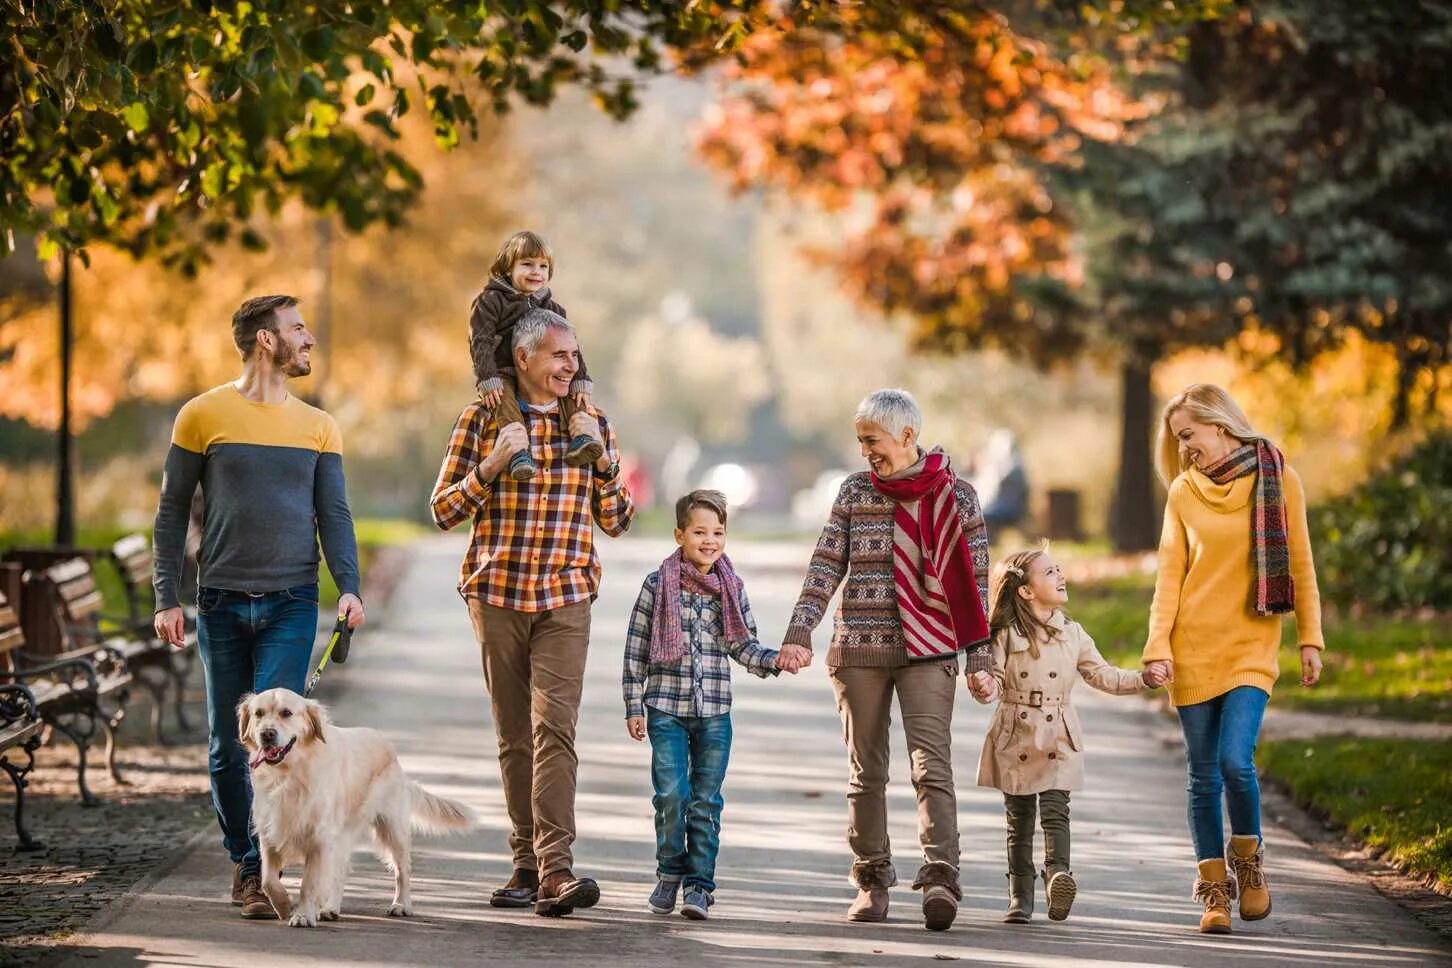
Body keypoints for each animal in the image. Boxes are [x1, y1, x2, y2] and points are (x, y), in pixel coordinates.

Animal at [238, 685, 473, 928]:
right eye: (258, 713)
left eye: (286, 713)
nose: (267, 734)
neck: (289, 774)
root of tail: (391, 751)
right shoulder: (269, 831)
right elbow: (268, 880)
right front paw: (283, 905)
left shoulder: (319, 837)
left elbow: (309, 883)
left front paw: (303, 915)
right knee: (341, 869)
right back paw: (330, 908)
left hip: (392, 828)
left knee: (402, 869)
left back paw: (401, 904)